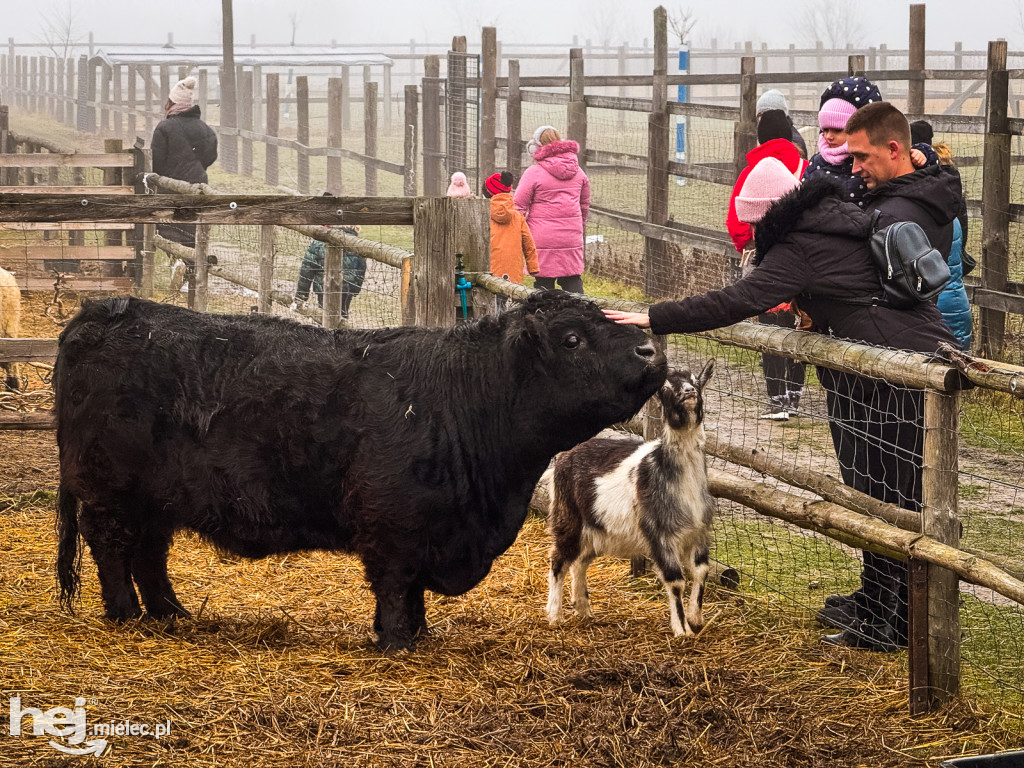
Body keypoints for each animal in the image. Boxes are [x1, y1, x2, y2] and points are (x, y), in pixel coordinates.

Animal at [56, 290, 667, 651]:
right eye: (572, 338)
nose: (650, 351)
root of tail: (107, 310)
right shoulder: (394, 523)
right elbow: (396, 584)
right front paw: (397, 640)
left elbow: (414, 589)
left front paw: (420, 634)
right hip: (110, 490)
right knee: (111, 546)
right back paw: (126, 616)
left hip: (155, 498)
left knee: (149, 553)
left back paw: (169, 614)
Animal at [548, 364, 716, 638]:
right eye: (665, 388)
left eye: (696, 382)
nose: (689, 393)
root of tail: (565, 455)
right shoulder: (659, 534)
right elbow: (675, 580)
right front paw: (682, 630)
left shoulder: (699, 532)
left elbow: (702, 571)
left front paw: (695, 618)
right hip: (567, 516)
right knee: (559, 560)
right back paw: (554, 615)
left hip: (599, 529)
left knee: (580, 562)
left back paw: (583, 608)